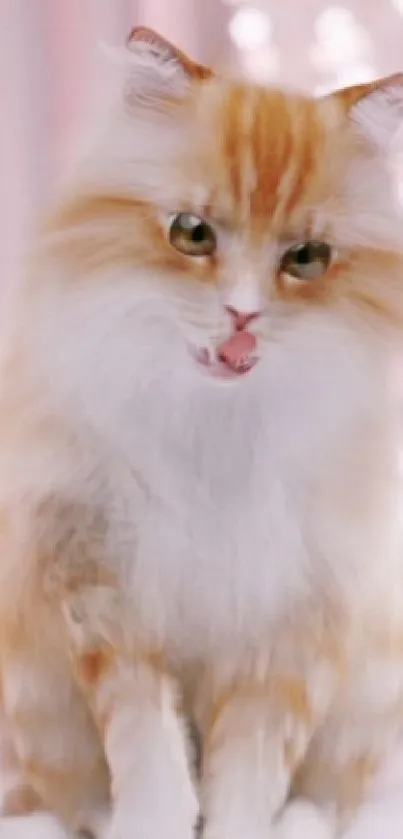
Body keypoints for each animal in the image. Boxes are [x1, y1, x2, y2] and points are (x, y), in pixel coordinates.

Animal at [0, 23, 403, 839]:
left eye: (305, 258)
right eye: (191, 234)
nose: (242, 316)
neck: (214, 425)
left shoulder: (289, 626)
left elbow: (248, 776)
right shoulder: (102, 592)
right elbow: (150, 758)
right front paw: (151, 824)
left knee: (330, 800)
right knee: (67, 803)